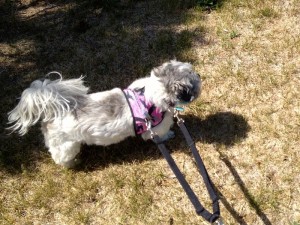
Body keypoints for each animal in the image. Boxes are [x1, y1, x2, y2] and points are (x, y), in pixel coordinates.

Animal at [7, 59, 202, 167]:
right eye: (194, 79)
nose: (199, 75)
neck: (149, 95)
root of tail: (53, 112)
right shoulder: (154, 129)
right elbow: (160, 135)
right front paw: (169, 135)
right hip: (66, 146)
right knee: (60, 156)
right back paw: (71, 163)